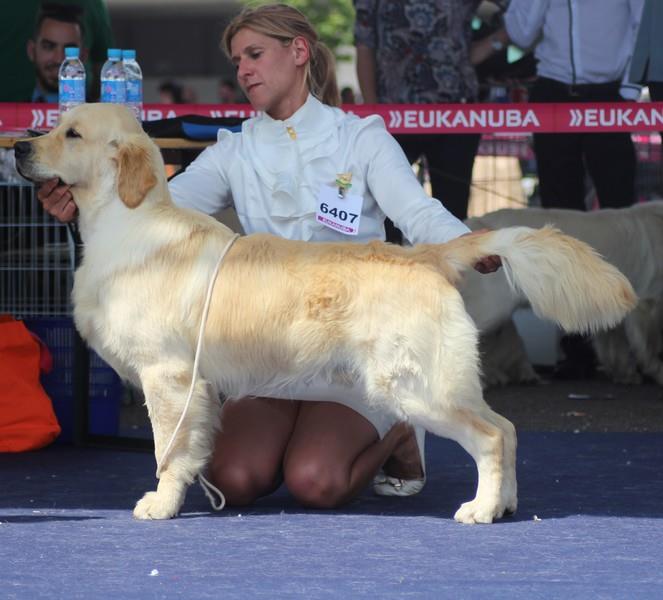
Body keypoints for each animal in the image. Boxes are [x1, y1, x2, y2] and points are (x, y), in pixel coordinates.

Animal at [14, 105, 640, 524]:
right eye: (54, 125)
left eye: (71, 133)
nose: (18, 146)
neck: (124, 220)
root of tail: (425, 254)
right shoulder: (192, 385)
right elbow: (191, 449)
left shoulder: (166, 375)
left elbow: (167, 450)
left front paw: (160, 503)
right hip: (437, 380)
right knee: (506, 428)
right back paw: (505, 503)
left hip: (415, 385)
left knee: (489, 435)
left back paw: (480, 509)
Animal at [464, 204, 663, 386]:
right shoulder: (649, 304)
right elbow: (652, 345)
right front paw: (657, 372)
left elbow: (616, 343)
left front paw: (626, 374)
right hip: (491, 307)